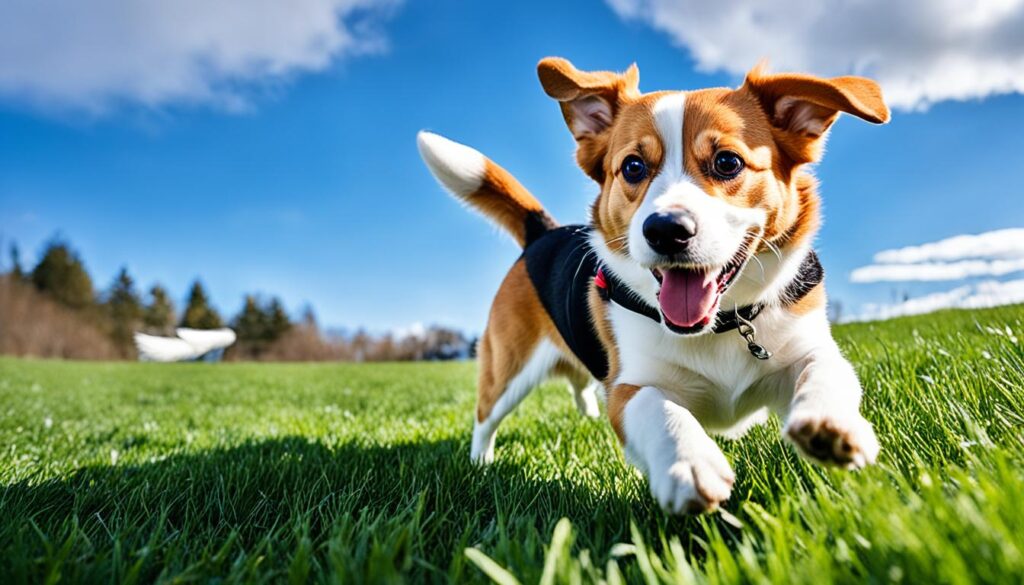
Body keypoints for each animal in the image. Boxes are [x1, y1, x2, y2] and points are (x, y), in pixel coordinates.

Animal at [415, 58, 888, 512]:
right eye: (633, 167)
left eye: (728, 162)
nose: (666, 230)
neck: (721, 324)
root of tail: (542, 232)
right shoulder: (629, 387)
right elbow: (657, 409)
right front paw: (688, 462)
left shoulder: (807, 347)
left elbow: (825, 370)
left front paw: (830, 423)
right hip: (507, 367)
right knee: (485, 417)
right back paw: (481, 464)